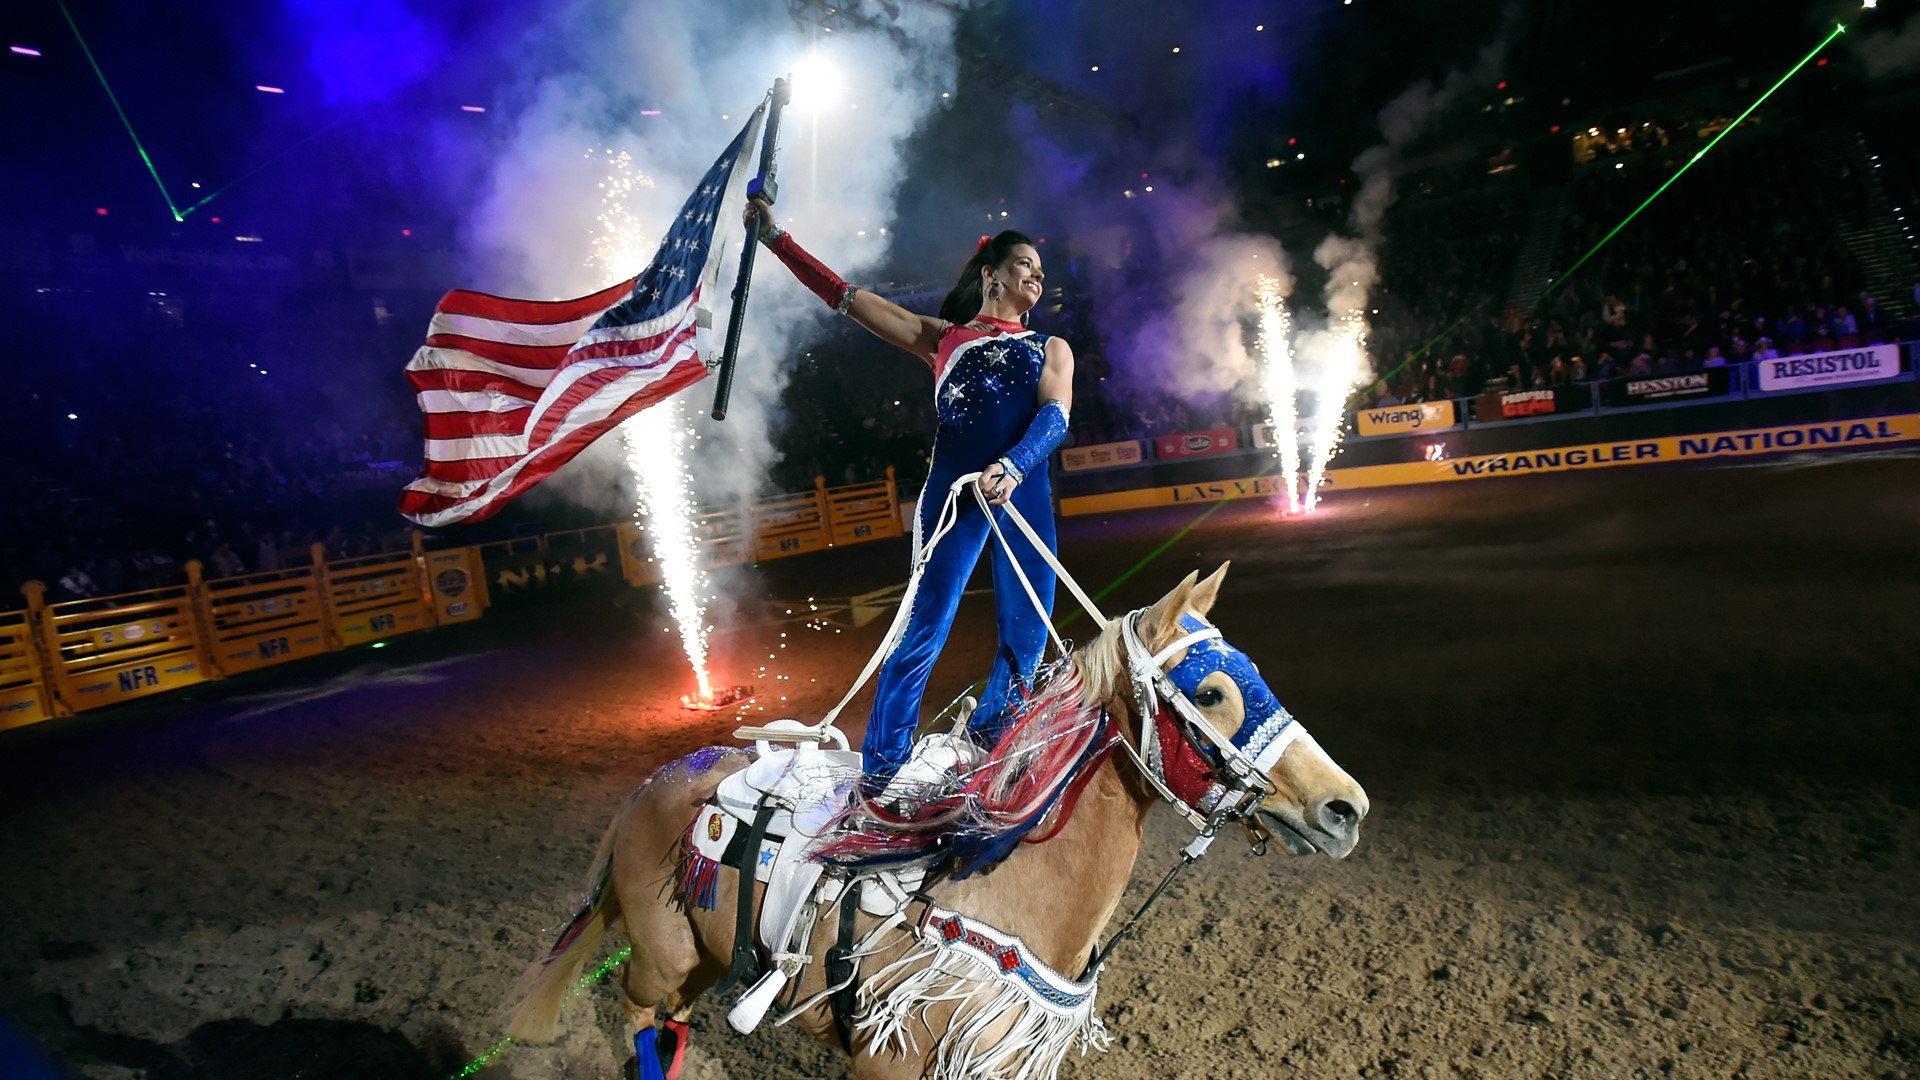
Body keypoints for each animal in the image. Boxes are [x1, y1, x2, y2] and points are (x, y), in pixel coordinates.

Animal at [499, 568, 1367, 1068]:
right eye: (1212, 690)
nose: (1346, 807)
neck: (1005, 898)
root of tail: (656, 781)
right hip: (661, 957)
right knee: (642, 1016)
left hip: (703, 961)